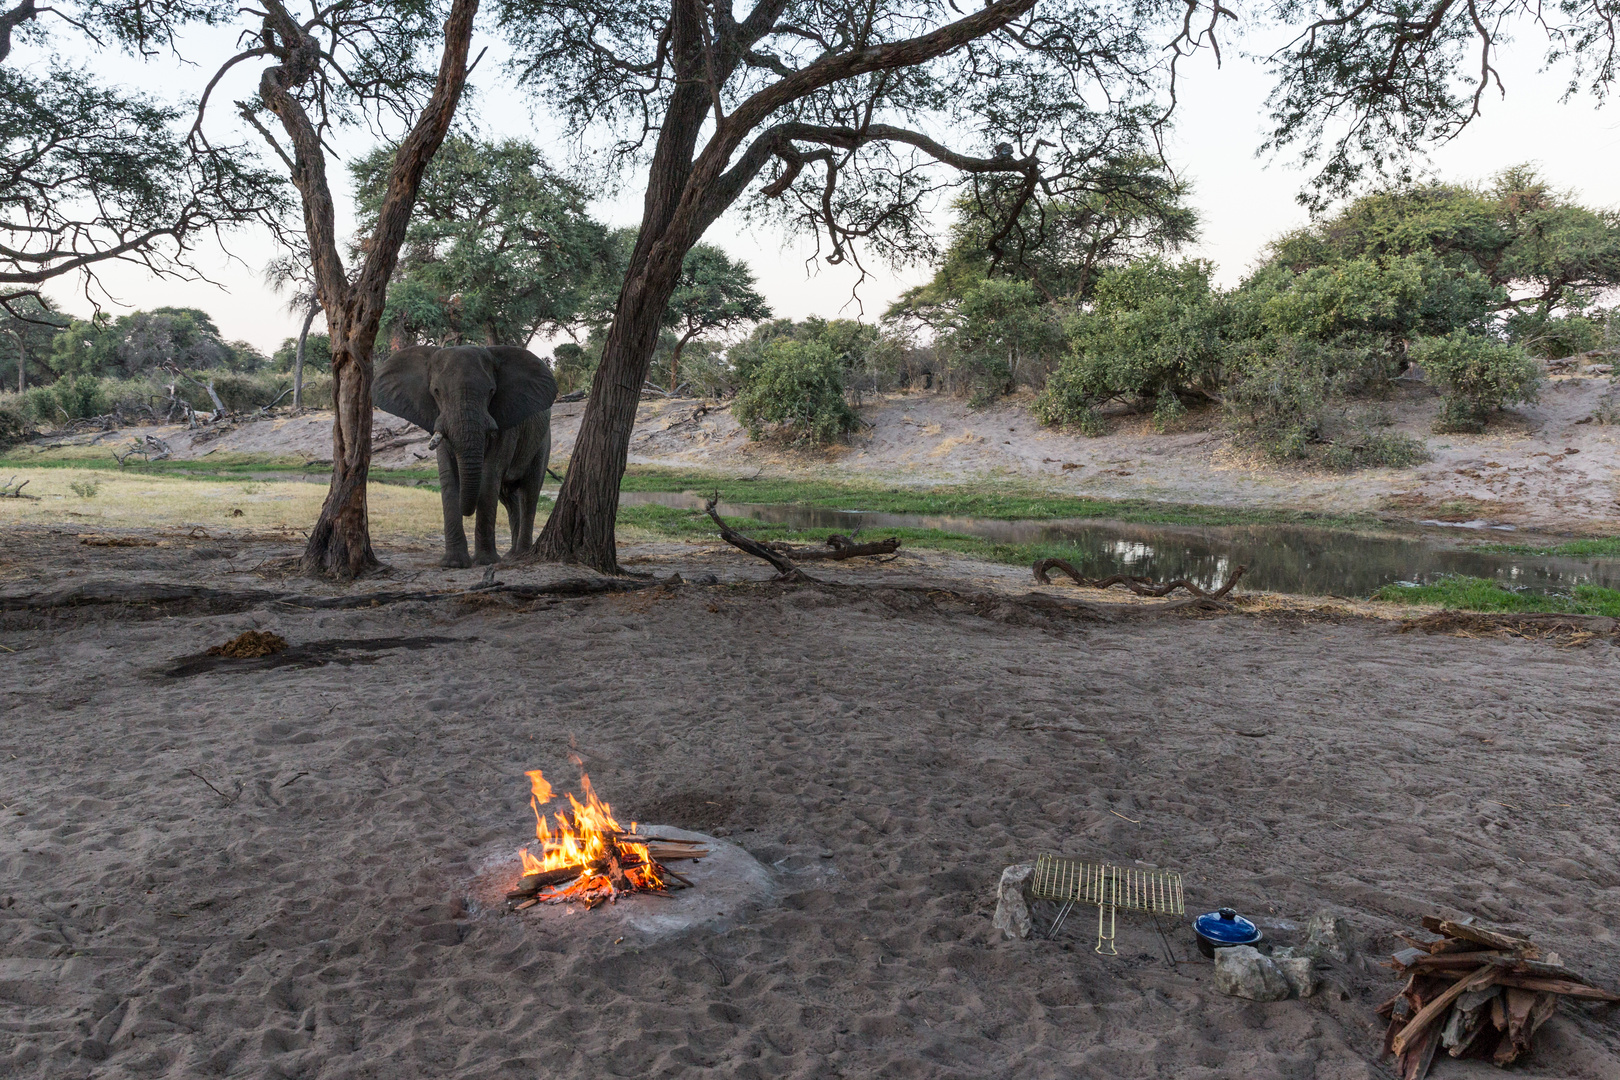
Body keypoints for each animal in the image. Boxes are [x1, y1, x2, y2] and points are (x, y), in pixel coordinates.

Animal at [372, 346, 557, 569]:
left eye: (491, 391)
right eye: (436, 391)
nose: (466, 510)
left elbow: (488, 477)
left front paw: (485, 562)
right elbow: (448, 476)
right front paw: (453, 563)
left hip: (543, 440)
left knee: (529, 492)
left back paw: (521, 555)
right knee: (508, 497)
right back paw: (511, 555)